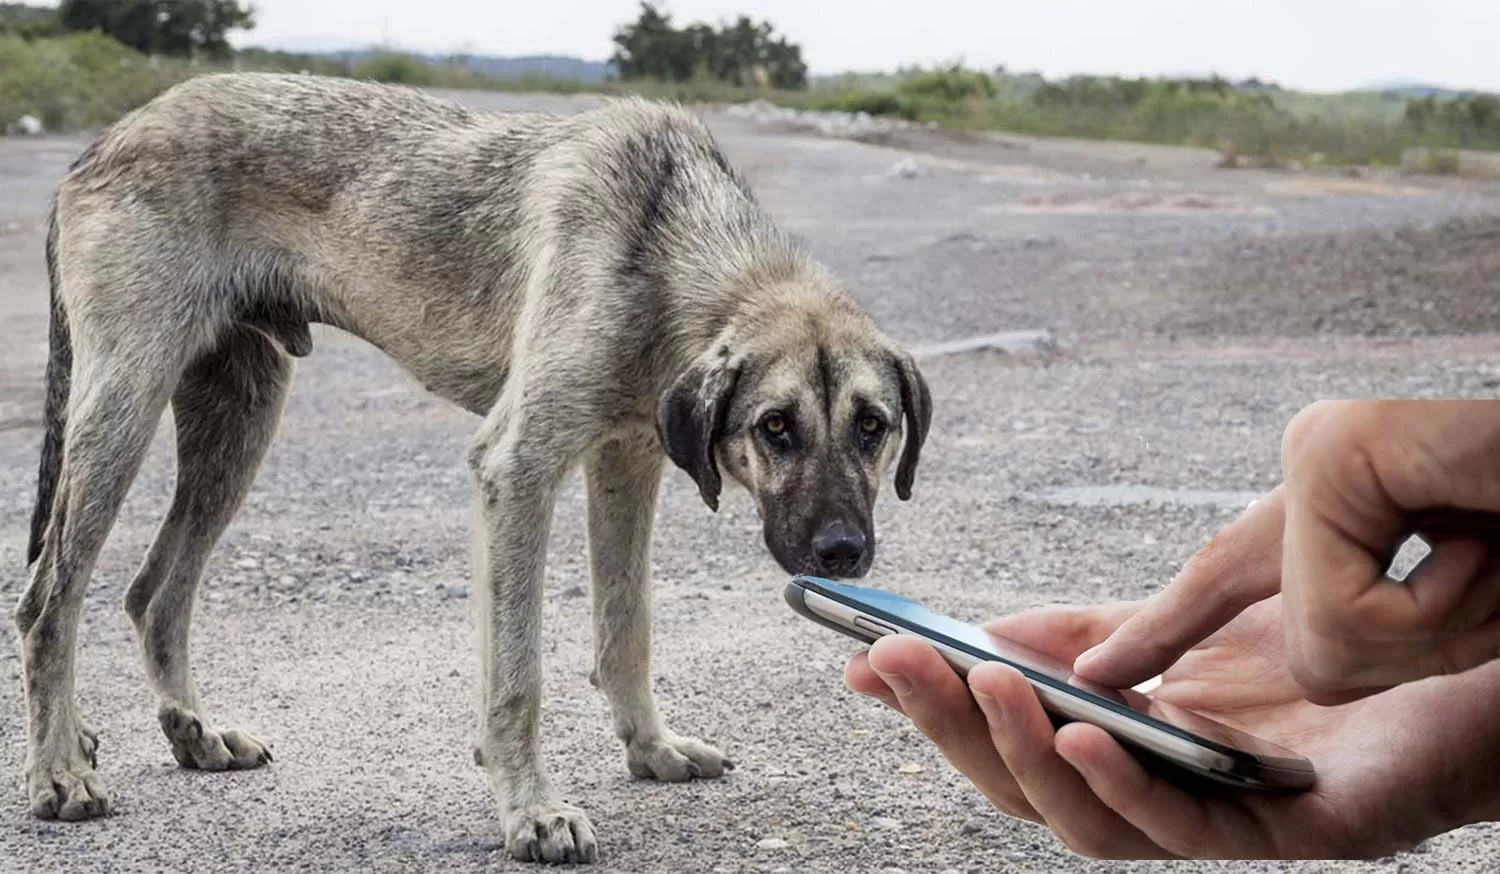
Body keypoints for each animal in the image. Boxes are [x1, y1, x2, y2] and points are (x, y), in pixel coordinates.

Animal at [11, 71, 930, 863]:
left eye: (873, 427)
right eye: (776, 428)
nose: (843, 553)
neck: (668, 240)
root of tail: (101, 142)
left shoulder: (626, 462)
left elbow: (626, 630)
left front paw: (652, 750)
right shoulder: (517, 469)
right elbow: (517, 674)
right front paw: (532, 811)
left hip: (236, 423)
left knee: (153, 592)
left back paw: (194, 734)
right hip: (123, 410)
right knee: (47, 600)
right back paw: (59, 771)